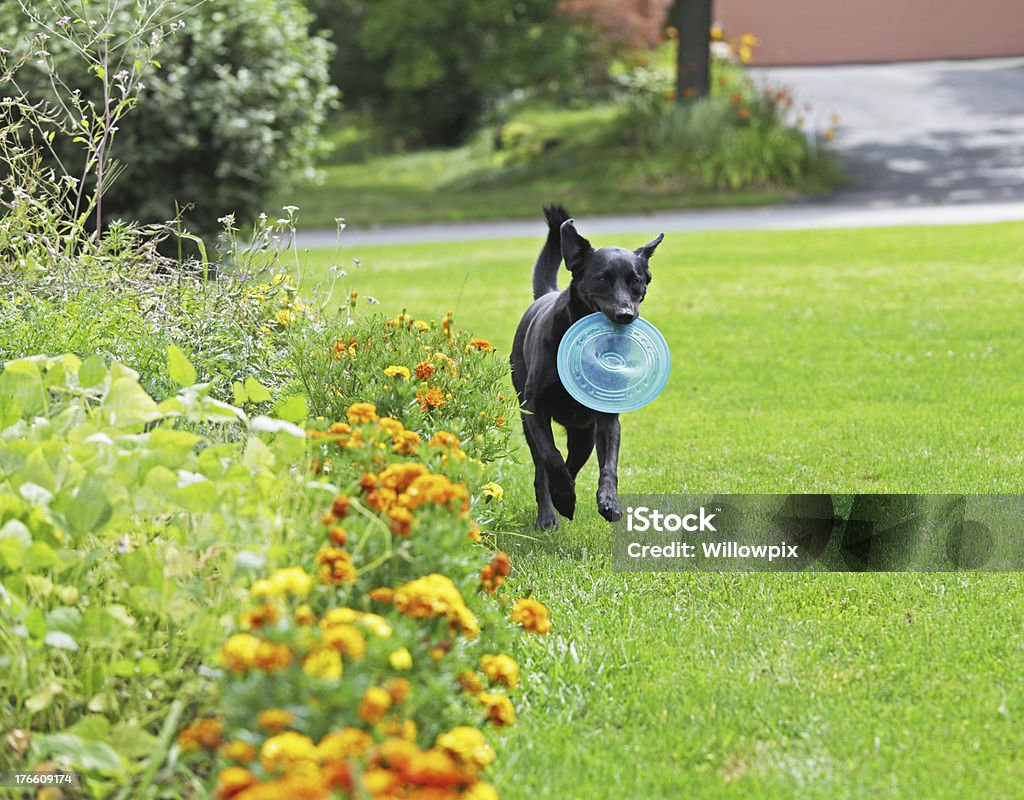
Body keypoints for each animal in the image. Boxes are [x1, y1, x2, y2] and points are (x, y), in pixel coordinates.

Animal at [509, 205, 663, 528]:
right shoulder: (536, 407)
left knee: (573, 463)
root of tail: (544, 293)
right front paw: (563, 498)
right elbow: (551, 457)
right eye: (602, 279)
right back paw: (549, 513)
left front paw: (609, 502)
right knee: (542, 467)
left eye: (636, 281)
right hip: (529, 421)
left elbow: (609, 466)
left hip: (583, 436)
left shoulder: (606, 421)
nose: (625, 315)